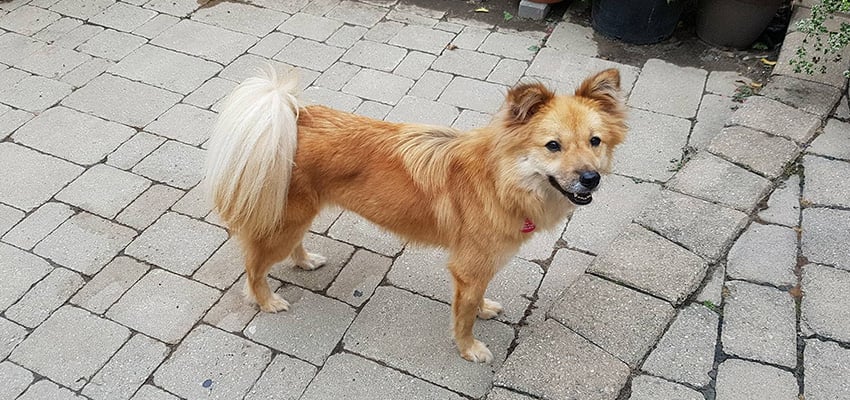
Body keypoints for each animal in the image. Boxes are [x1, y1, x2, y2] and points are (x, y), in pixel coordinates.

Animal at [205, 68, 628, 362]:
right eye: (553, 146)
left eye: (595, 141)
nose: (591, 178)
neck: (500, 179)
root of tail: (293, 116)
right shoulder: (469, 267)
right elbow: (464, 314)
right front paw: (468, 348)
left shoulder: (481, 267)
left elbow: (477, 300)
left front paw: (485, 310)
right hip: (284, 222)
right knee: (254, 266)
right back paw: (266, 300)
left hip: (297, 216)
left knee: (290, 245)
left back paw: (304, 260)